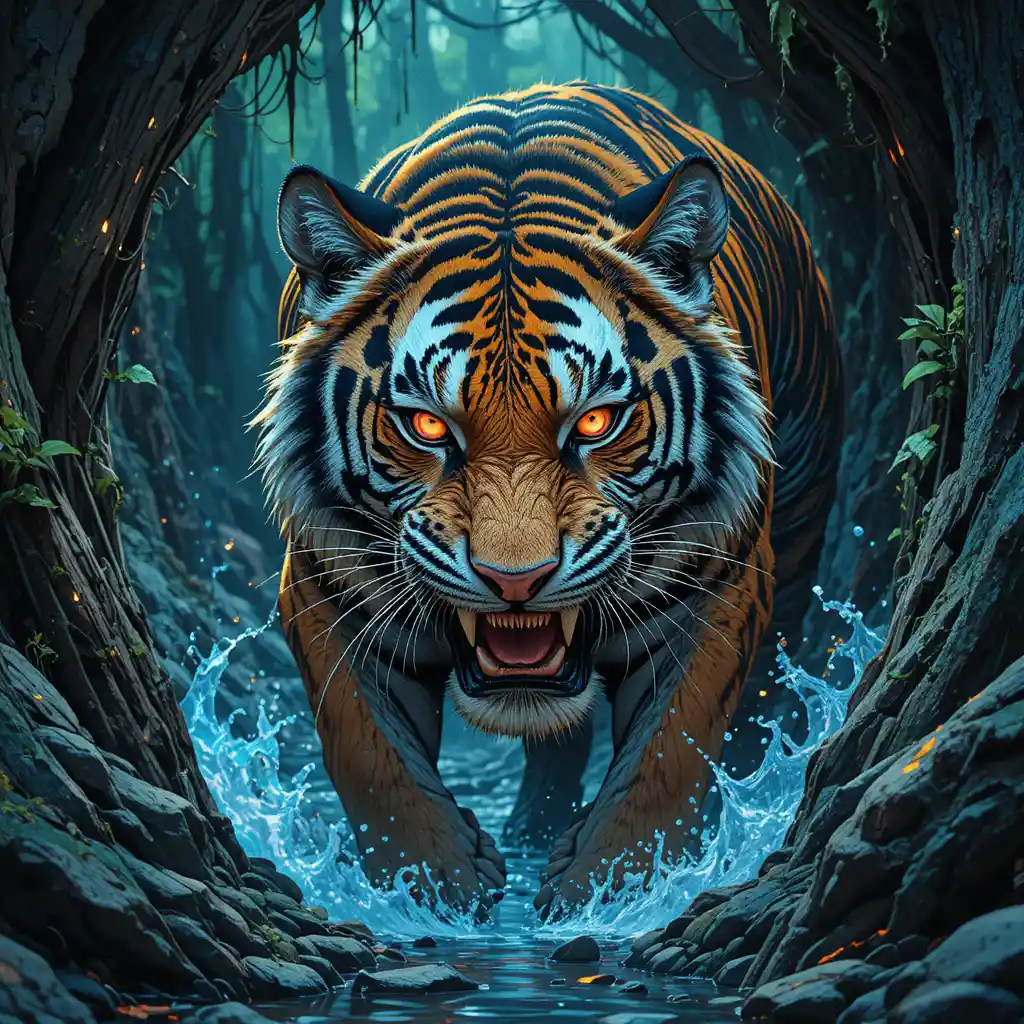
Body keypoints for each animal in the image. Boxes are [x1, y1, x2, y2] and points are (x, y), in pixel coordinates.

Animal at [253, 82, 843, 918]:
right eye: (428, 425)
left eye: (594, 422)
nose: (516, 581)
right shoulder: (327, 585)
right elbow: (372, 756)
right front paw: (432, 887)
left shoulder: (718, 581)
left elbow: (672, 752)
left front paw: (615, 891)